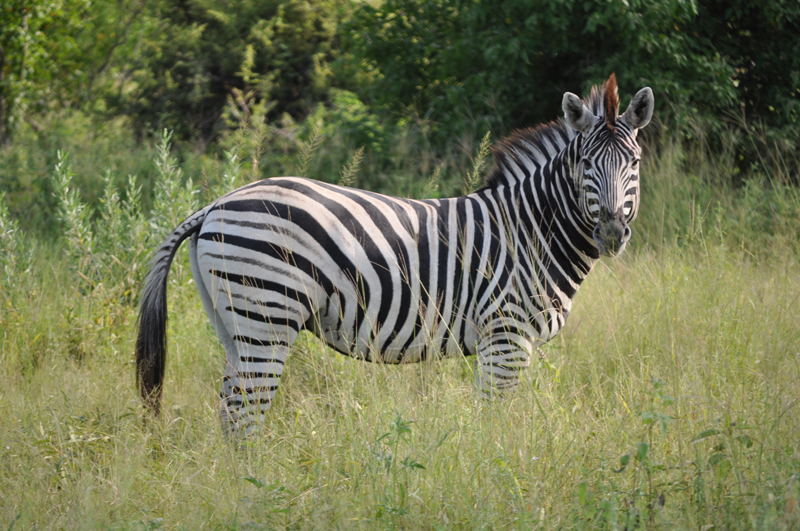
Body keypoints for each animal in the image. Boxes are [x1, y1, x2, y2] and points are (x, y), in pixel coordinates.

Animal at [136, 74, 654, 435]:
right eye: (585, 163)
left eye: (634, 162)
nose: (611, 232)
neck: (530, 231)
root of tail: (215, 204)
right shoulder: (505, 337)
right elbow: (494, 421)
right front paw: (494, 473)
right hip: (267, 316)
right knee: (244, 417)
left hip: (234, 323)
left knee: (229, 413)